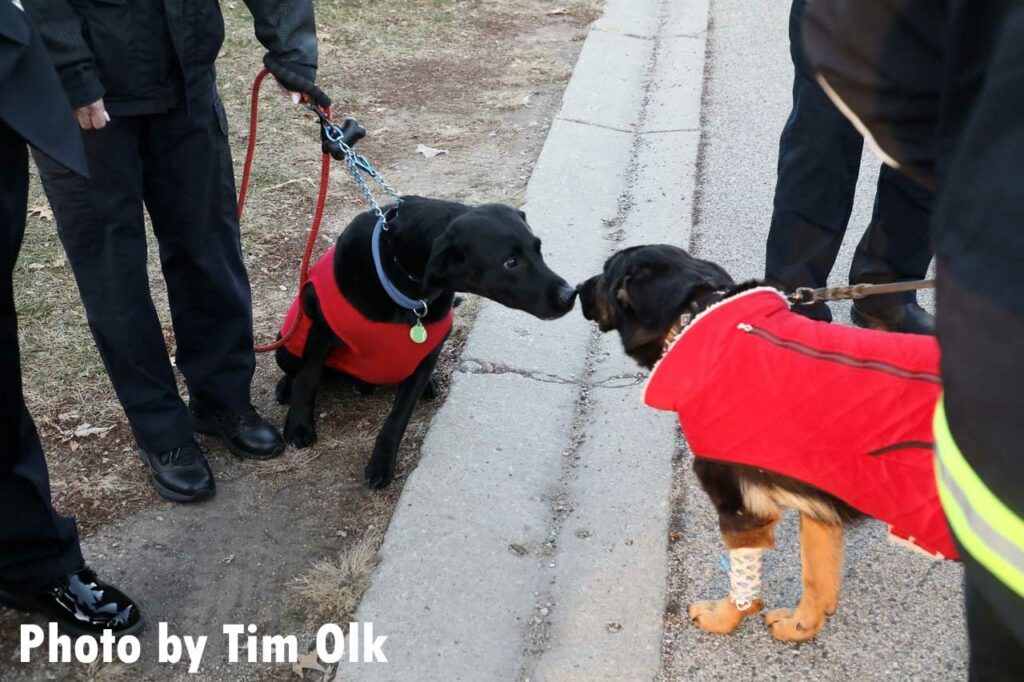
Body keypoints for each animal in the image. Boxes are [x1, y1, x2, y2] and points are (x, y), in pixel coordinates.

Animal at [276, 196, 577, 489]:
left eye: (538, 248)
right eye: (510, 262)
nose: (570, 295)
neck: (401, 274)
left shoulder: (428, 352)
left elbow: (398, 416)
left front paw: (382, 462)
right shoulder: (321, 332)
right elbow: (308, 379)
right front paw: (298, 427)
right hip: (285, 348)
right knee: (298, 372)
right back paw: (285, 387)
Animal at [581, 242, 946, 638]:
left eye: (606, 272)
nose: (577, 289)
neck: (694, 316)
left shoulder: (743, 509)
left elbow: (745, 586)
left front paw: (724, 618)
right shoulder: (817, 501)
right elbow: (816, 575)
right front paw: (802, 625)